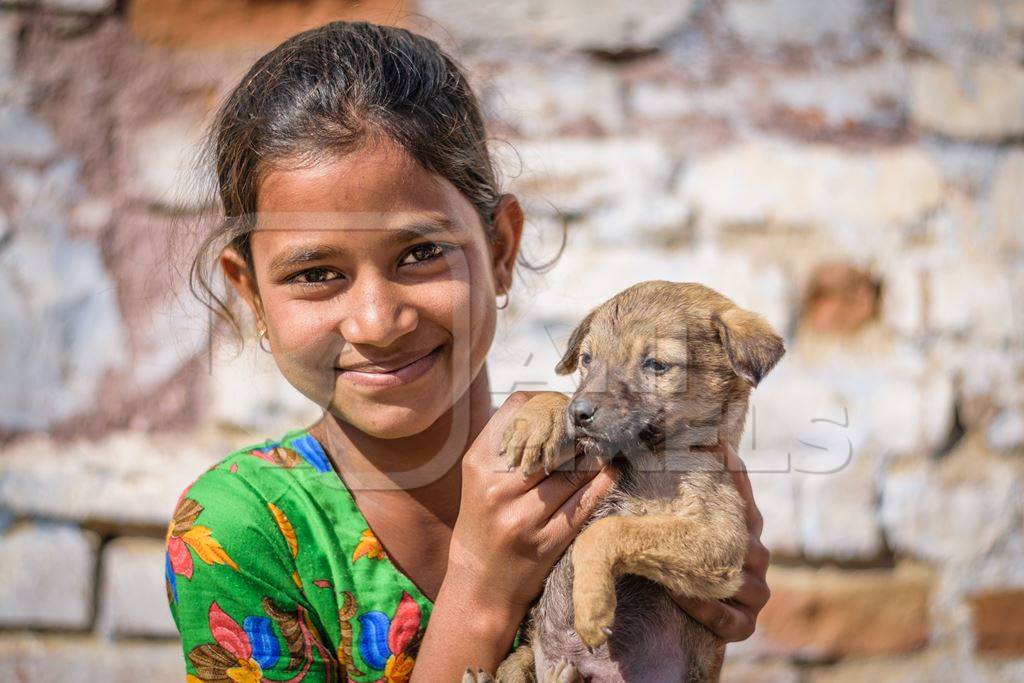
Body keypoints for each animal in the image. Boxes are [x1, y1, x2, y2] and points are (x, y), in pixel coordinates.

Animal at [464, 278, 782, 683]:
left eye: (656, 365)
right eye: (587, 360)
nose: (579, 414)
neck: (644, 456)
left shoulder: (719, 537)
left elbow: (607, 531)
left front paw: (591, 606)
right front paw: (540, 419)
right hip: (522, 656)